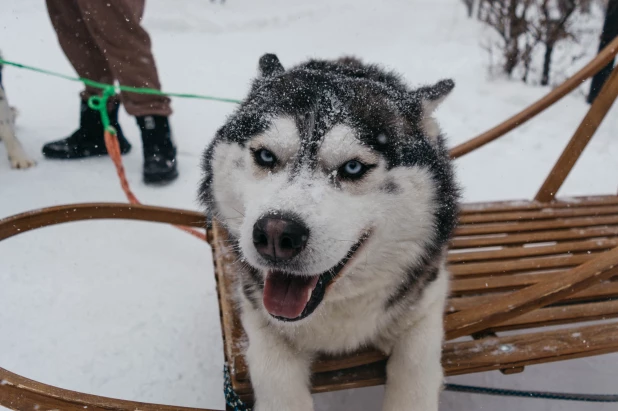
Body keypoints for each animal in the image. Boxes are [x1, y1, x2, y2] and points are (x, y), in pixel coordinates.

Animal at [199, 54, 458, 411]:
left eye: (352, 167)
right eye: (265, 155)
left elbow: (416, 369)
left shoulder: (426, 301)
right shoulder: (258, 313)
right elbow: (275, 378)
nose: (276, 235)